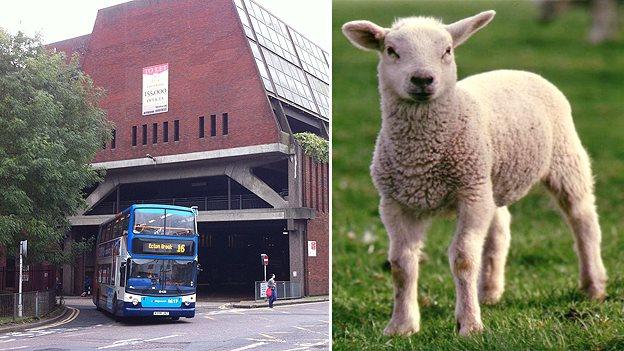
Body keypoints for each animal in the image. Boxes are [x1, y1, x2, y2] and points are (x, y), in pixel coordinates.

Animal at [344, 9, 608, 336]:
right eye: (391, 51)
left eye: (447, 51)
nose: (422, 79)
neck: (422, 157)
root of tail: (517, 69)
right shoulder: (396, 203)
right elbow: (401, 264)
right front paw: (401, 325)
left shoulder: (470, 195)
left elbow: (463, 259)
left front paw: (469, 324)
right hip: (489, 179)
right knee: (501, 227)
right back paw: (489, 291)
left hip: (564, 158)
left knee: (583, 219)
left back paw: (593, 285)